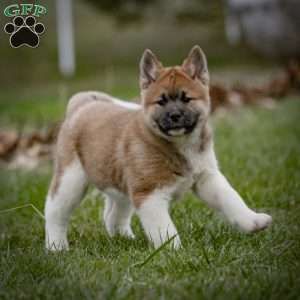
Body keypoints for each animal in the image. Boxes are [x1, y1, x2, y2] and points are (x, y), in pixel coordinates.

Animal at [44, 45, 272, 251]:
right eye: (161, 101)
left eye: (186, 98)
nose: (175, 116)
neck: (180, 145)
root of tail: (82, 105)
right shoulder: (150, 195)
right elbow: (165, 230)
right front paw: (174, 253)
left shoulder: (207, 178)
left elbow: (231, 199)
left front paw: (252, 221)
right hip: (71, 180)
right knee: (55, 211)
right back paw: (56, 246)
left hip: (122, 186)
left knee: (112, 215)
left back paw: (125, 239)